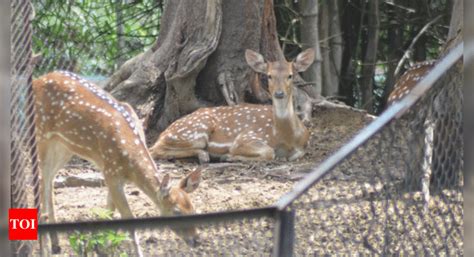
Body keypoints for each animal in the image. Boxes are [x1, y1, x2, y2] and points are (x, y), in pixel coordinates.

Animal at [33, 70, 202, 256]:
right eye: (176, 211)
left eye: (193, 209)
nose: (196, 240)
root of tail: (38, 79)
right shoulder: (111, 171)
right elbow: (127, 217)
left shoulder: (113, 174)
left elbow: (109, 210)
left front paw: (102, 247)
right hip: (41, 135)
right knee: (40, 180)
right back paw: (45, 247)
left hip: (65, 146)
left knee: (50, 179)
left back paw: (56, 244)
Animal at [151, 48, 314, 162]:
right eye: (269, 76)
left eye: (290, 75)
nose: (279, 93)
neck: (286, 137)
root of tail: (164, 133)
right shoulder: (247, 137)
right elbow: (269, 152)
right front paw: (228, 156)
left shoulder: (303, 147)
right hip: (195, 131)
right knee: (155, 150)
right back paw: (205, 155)